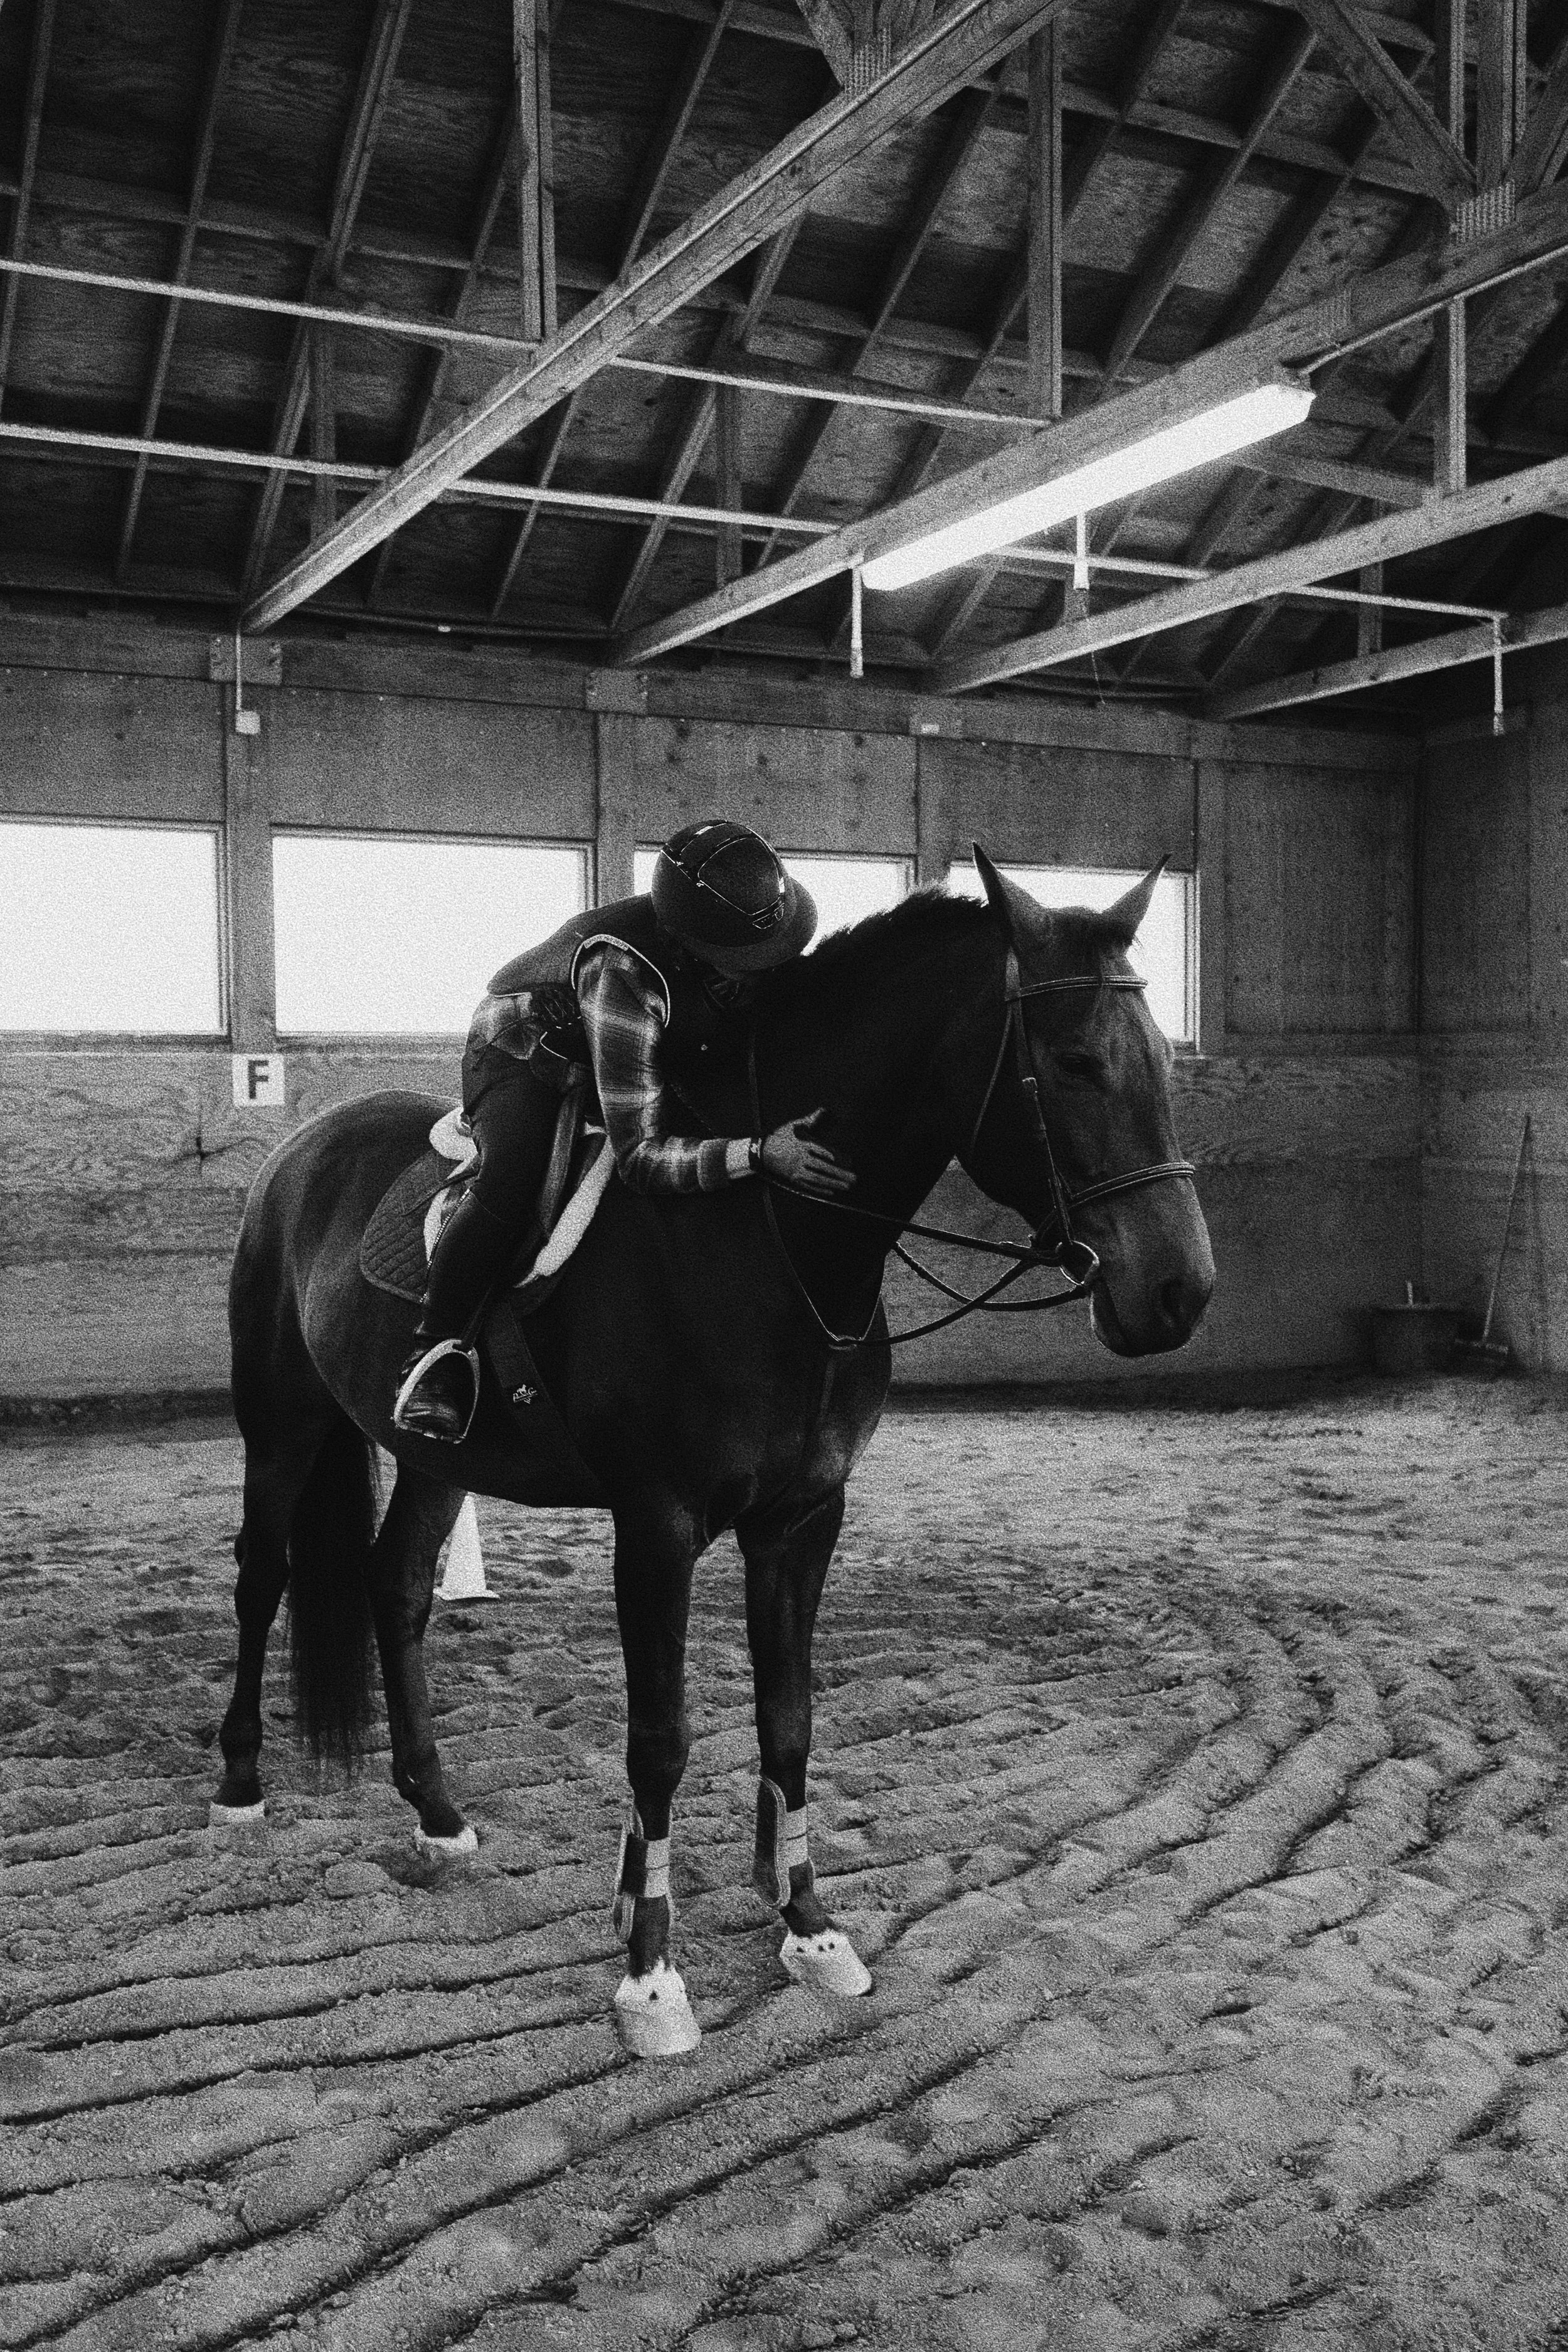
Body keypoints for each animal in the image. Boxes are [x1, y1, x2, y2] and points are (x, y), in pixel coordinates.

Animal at [211, 849, 1214, 2056]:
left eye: (1158, 1058)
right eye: (1072, 1063)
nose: (1179, 1290)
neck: (773, 1242)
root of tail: (304, 1147)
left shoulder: (802, 1519)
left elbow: (790, 1722)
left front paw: (812, 1930)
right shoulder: (658, 1528)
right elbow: (661, 1740)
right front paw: (650, 1973)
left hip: (434, 1457)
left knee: (395, 1585)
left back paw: (439, 1812)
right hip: (284, 1421)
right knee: (262, 1576)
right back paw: (238, 1785)